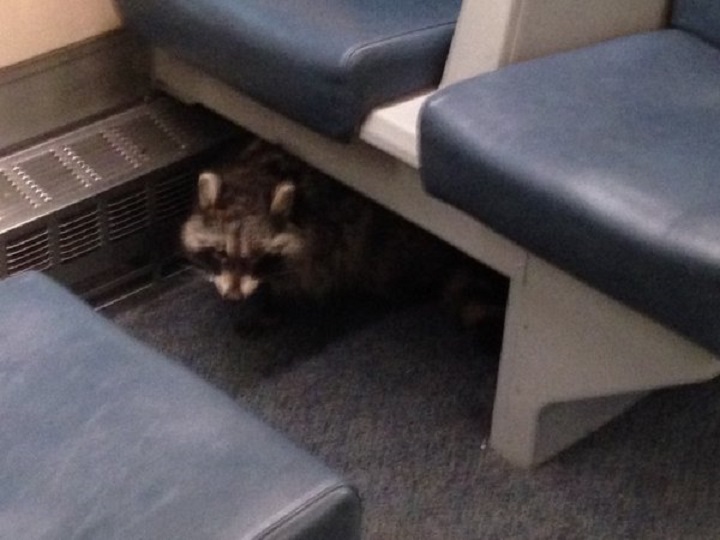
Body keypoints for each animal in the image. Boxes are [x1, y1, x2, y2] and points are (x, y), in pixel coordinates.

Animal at [181, 140, 507, 331]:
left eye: (259, 258)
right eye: (220, 253)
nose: (233, 297)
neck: (254, 179)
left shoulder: (321, 241)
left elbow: (302, 277)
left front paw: (273, 303)